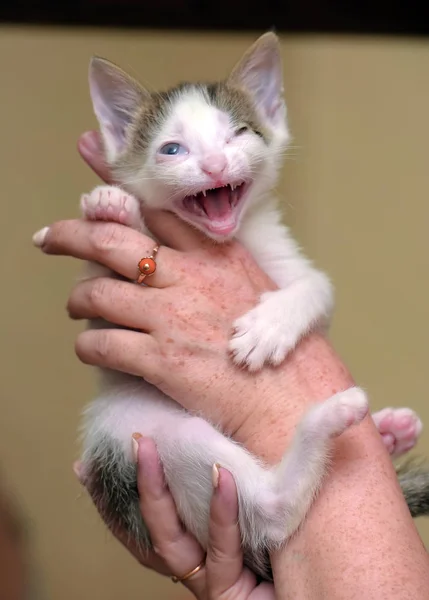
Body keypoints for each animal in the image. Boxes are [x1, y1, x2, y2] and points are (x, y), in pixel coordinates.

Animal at [73, 34, 424, 580]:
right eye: (171, 149)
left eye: (239, 133)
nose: (215, 166)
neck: (229, 239)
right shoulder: (106, 319)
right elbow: (102, 293)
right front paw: (113, 206)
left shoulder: (286, 257)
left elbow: (316, 289)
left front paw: (270, 327)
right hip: (136, 432)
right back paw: (355, 426)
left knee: (274, 514)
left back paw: (371, 428)